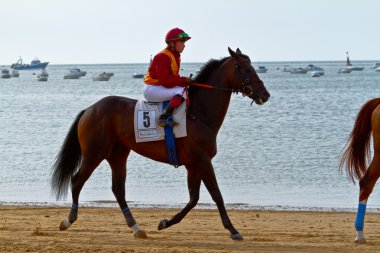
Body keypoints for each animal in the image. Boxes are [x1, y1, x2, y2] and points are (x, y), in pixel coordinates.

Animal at [51, 47, 270, 239]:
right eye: (246, 69)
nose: (265, 95)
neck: (198, 113)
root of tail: (89, 109)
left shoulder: (193, 165)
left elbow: (194, 198)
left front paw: (165, 222)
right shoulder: (202, 160)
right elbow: (216, 194)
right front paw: (233, 230)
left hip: (118, 154)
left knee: (118, 189)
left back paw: (136, 227)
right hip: (95, 153)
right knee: (77, 180)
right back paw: (68, 220)